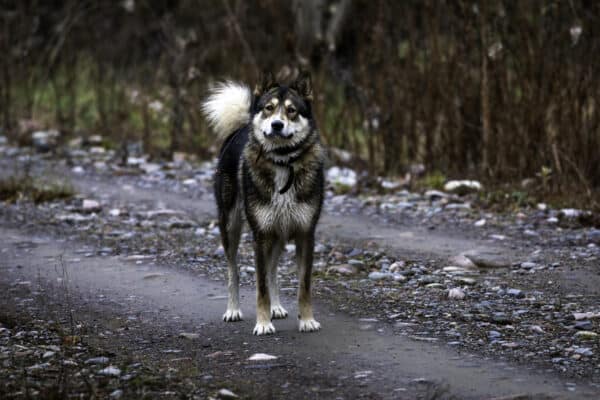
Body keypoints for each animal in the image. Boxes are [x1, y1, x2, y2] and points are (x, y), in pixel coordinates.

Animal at [202, 71, 324, 334]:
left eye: (291, 111)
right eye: (269, 108)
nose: (276, 124)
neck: (282, 162)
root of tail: (241, 127)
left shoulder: (305, 235)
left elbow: (303, 286)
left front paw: (307, 320)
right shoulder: (261, 236)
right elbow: (260, 288)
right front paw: (263, 323)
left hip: (278, 234)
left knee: (272, 271)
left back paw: (276, 308)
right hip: (231, 227)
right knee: (234, 271)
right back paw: (233, 310)